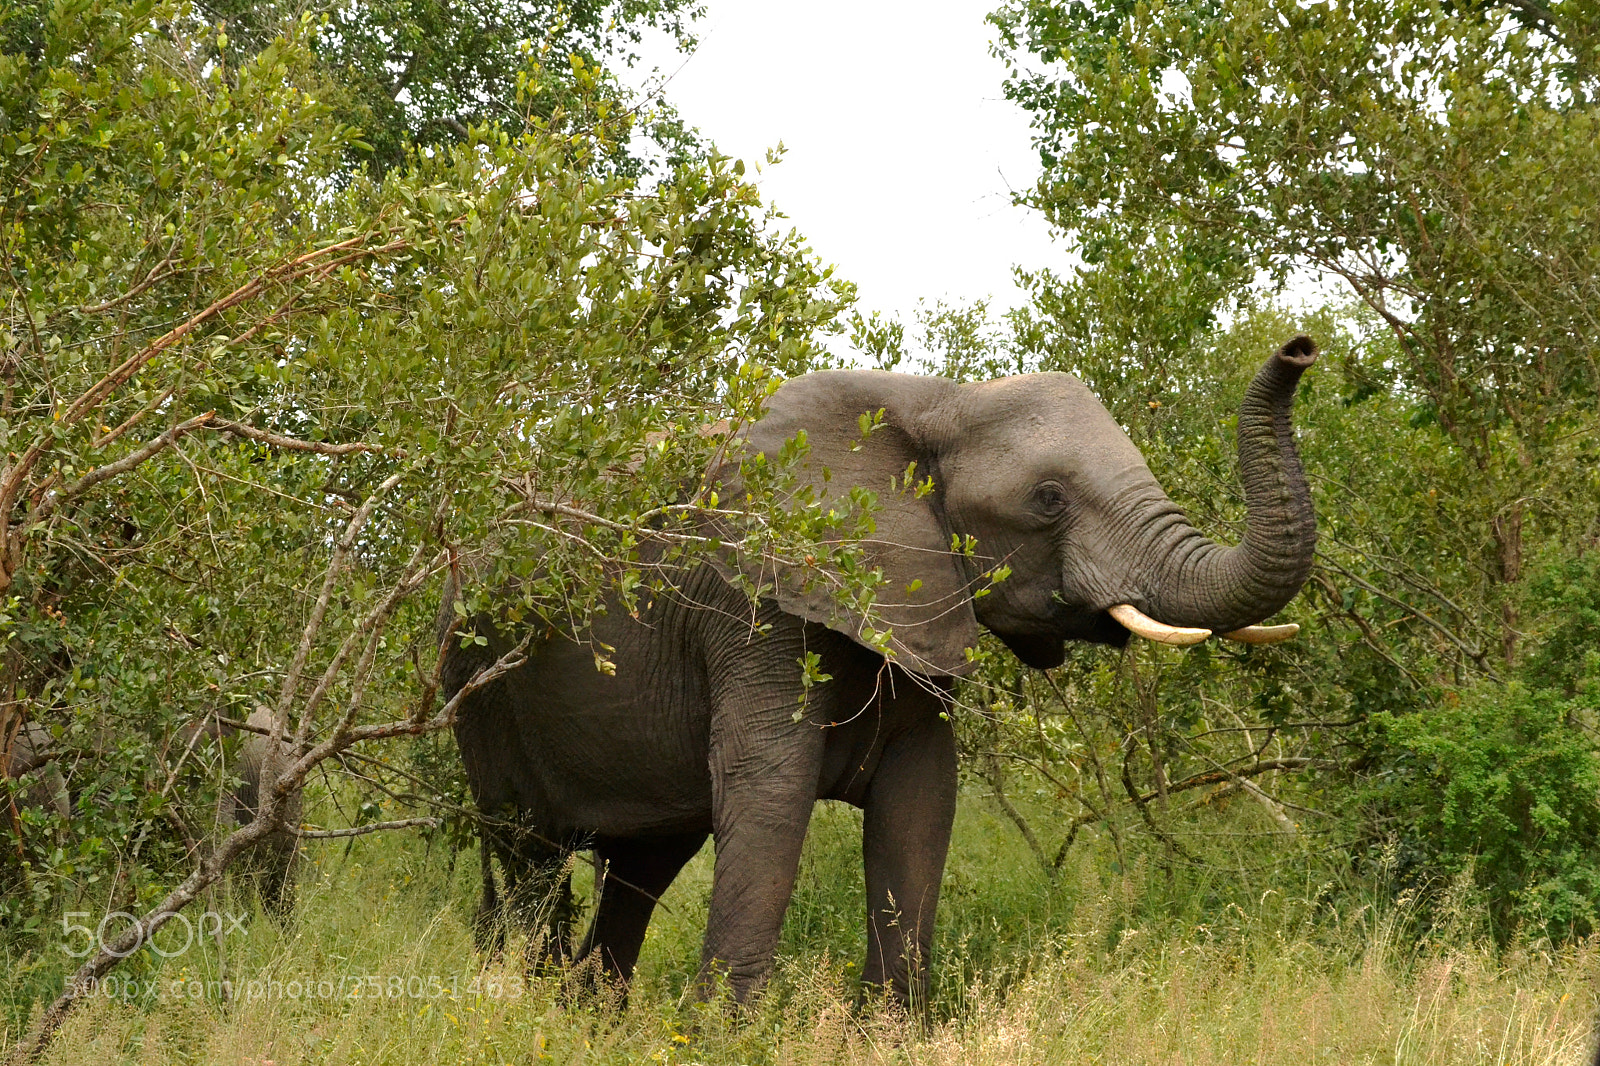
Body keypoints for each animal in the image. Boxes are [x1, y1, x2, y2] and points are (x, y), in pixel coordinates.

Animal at [440, 335, 1320, 1007]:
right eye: (1048, 499)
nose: (1301, 348)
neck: (937, 402)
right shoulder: (754, 604)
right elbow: (771, 790)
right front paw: (725, 1035)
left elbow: (922, 800)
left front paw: (887, 1034)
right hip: (477, 685)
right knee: (529, 855)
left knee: (643, 867)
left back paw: (589, 1017)